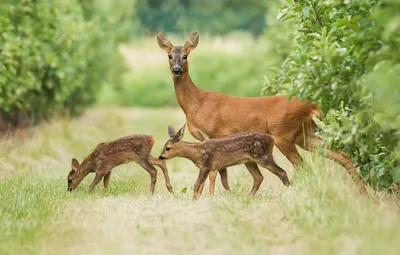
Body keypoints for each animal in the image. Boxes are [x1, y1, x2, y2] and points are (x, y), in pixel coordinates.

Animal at [159, 124, 290, 200]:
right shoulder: (220, 166)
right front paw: (231, 195)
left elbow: (197, 184)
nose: (160, 157)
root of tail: (272, 139)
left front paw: (194, 200)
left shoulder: (206, 165)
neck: (197, 152)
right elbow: (224, 183)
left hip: (262, 156)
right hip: (250, 161)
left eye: (168, 148)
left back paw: (289, 191)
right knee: (258, 177)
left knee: (282, 172)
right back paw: (249, 196)